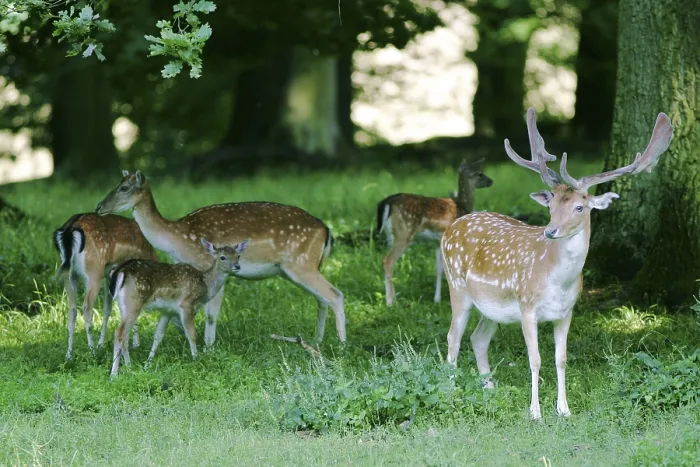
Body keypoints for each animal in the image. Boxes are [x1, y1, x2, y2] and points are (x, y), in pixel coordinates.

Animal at [53, 213, 159, 360]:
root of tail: (69, 229)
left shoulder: (109, 275)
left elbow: (107, 308)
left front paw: (101, 344)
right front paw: (135, 344)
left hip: (68, 273)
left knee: (72, 309)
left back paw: (69, 355)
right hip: (93, 272)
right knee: (86, 307)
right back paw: (92, 352)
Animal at [95, 170, 345, 346]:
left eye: (124, 187)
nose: (98, 207)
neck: (177, 238)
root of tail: (326, 230)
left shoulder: (210, 267)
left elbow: (211, 315)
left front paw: (209, 348)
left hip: (301, 264)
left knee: (335, 294)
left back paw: (341, 346)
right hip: (297, 268)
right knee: (322, 299)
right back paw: (318, 341)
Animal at [109, 239, 249, 377]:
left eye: (238, 255)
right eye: (223, 257)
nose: (237, 266)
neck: (205, 286)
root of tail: (120, 272)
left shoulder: (167, 310)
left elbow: (158, 336)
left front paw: (148, 364)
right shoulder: (186, 304)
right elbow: (191, 334)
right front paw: (196, 359)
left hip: (123, 305)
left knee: (125, 336)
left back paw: (128, 367)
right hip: (134, 302)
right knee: (119, 333)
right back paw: (114, 374)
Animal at [377, 159, 493, 306]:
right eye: (480, 173)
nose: (491, 181)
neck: (461, 205)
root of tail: (387, 202)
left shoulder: (436, 241)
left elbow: (438, 268)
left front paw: (436, 299)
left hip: (390, 235)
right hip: (404, 233)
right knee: (388, 261)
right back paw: (391, 302)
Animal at [440, 108, 673, 419]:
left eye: (579, 207)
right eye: (550, 206)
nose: (550, 231)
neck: (558, 282)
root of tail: (451, 228)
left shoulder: (566, 312)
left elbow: (560, 358)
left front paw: (564, 409)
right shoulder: (527, 306)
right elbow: (535, 359)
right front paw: (535, 412)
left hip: (492, 306)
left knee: (478, 339)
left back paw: (489, 389)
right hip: (457, 286)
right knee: (453, 338)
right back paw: (451, 392)